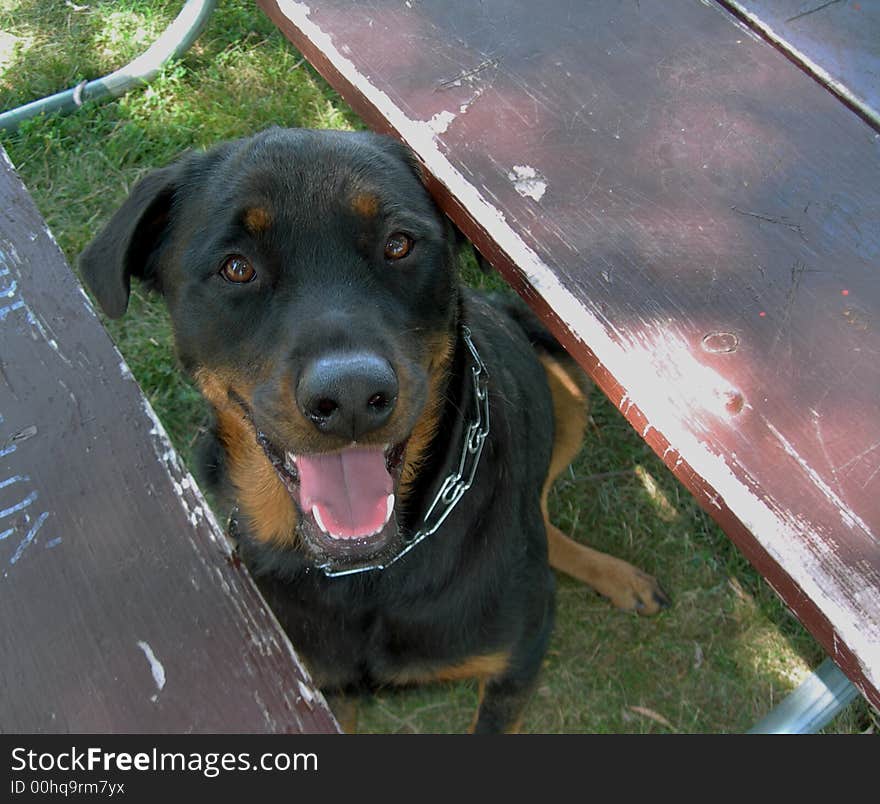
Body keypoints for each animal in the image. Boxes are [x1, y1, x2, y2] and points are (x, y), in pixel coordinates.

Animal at [81, 127, 668, 736]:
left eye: (399, 244)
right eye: (237, 268)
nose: (350, 399)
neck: (367, 572)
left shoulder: (515, 667)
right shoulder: (319, 687)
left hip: (564, 381)